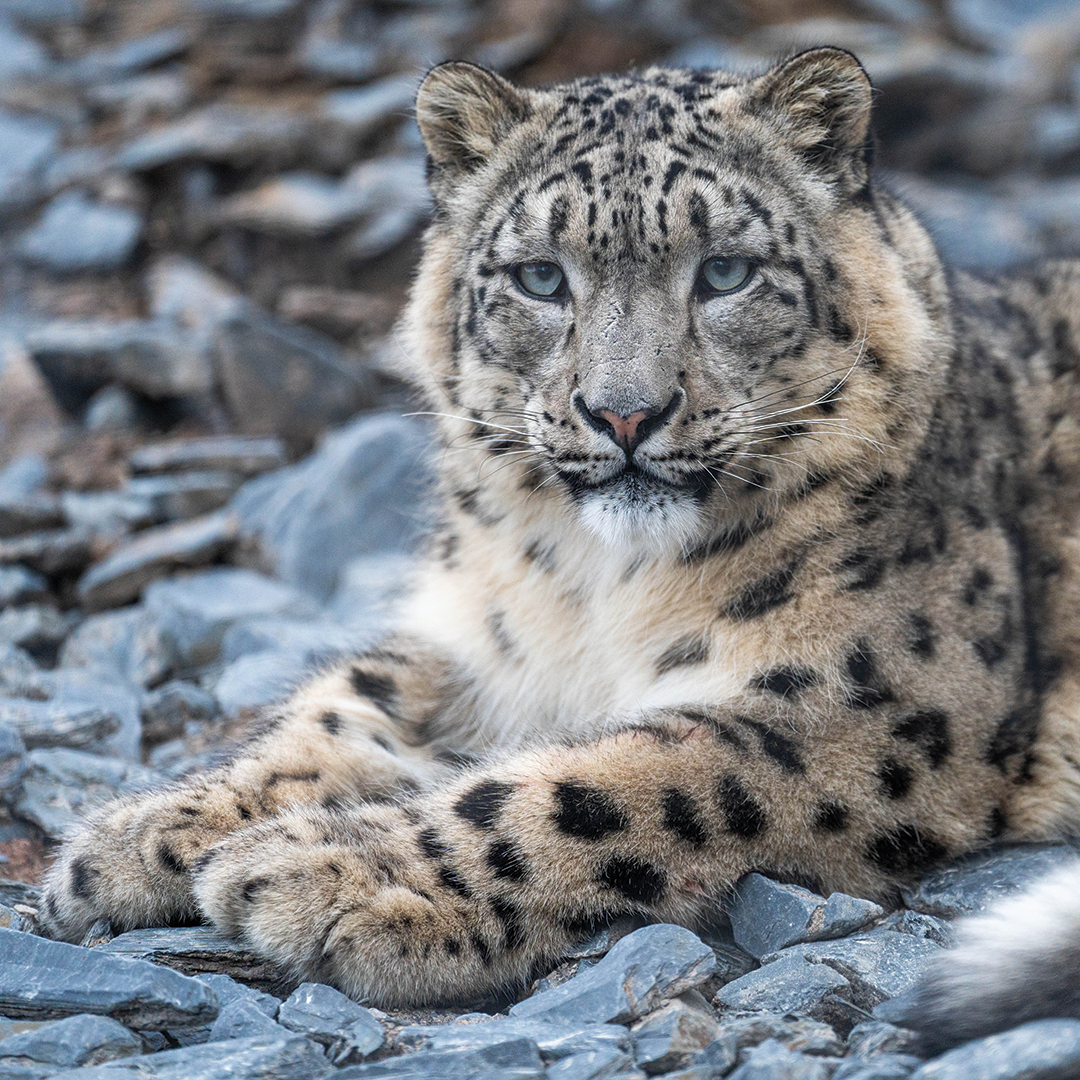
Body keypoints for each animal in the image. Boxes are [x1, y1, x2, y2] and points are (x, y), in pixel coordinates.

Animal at [39, 48, 1080, 1037]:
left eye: (726, 271)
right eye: (540, 277)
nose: (625, 413)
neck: (596, 589)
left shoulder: (864, 701)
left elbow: (603, 784)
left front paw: (329, 871)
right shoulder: (481, 648)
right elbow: (339, 707)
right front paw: (144, 833)